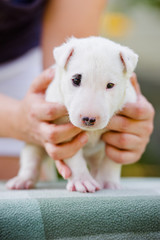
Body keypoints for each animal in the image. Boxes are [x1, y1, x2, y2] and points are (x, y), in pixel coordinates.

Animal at [6, 36, 138, 192]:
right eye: (76, 80)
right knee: (31, 160)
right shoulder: (63, 134)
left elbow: (112, 160)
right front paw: (82, 181)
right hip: (33, 143)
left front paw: (108, 182)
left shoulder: (121, 135)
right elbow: (74, 159)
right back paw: (22, 180)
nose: (88, 119)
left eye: (110, 85)